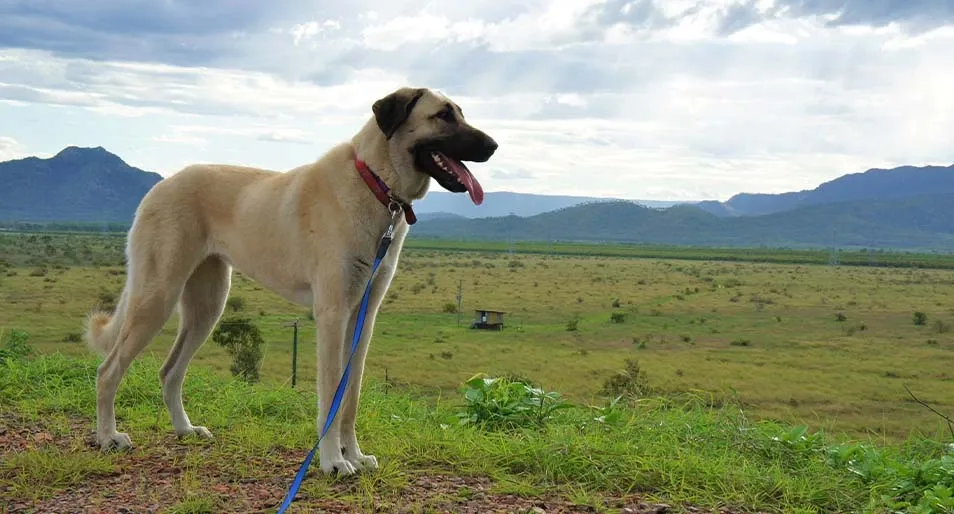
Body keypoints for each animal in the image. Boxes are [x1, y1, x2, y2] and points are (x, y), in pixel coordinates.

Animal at [83, 86, 498, 474]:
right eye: (443, 115)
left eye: (460, 112)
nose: (494, 146)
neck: (375, 182)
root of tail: (160, 186)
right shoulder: (332, 314)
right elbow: (331, 395)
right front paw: (332, 461)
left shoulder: (362, 320)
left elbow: (351, 397)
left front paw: (354, 455)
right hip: (157, 295)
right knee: (107, 371)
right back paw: (108, 437)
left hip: (208, 306)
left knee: (169, 371)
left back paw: (185, 430)